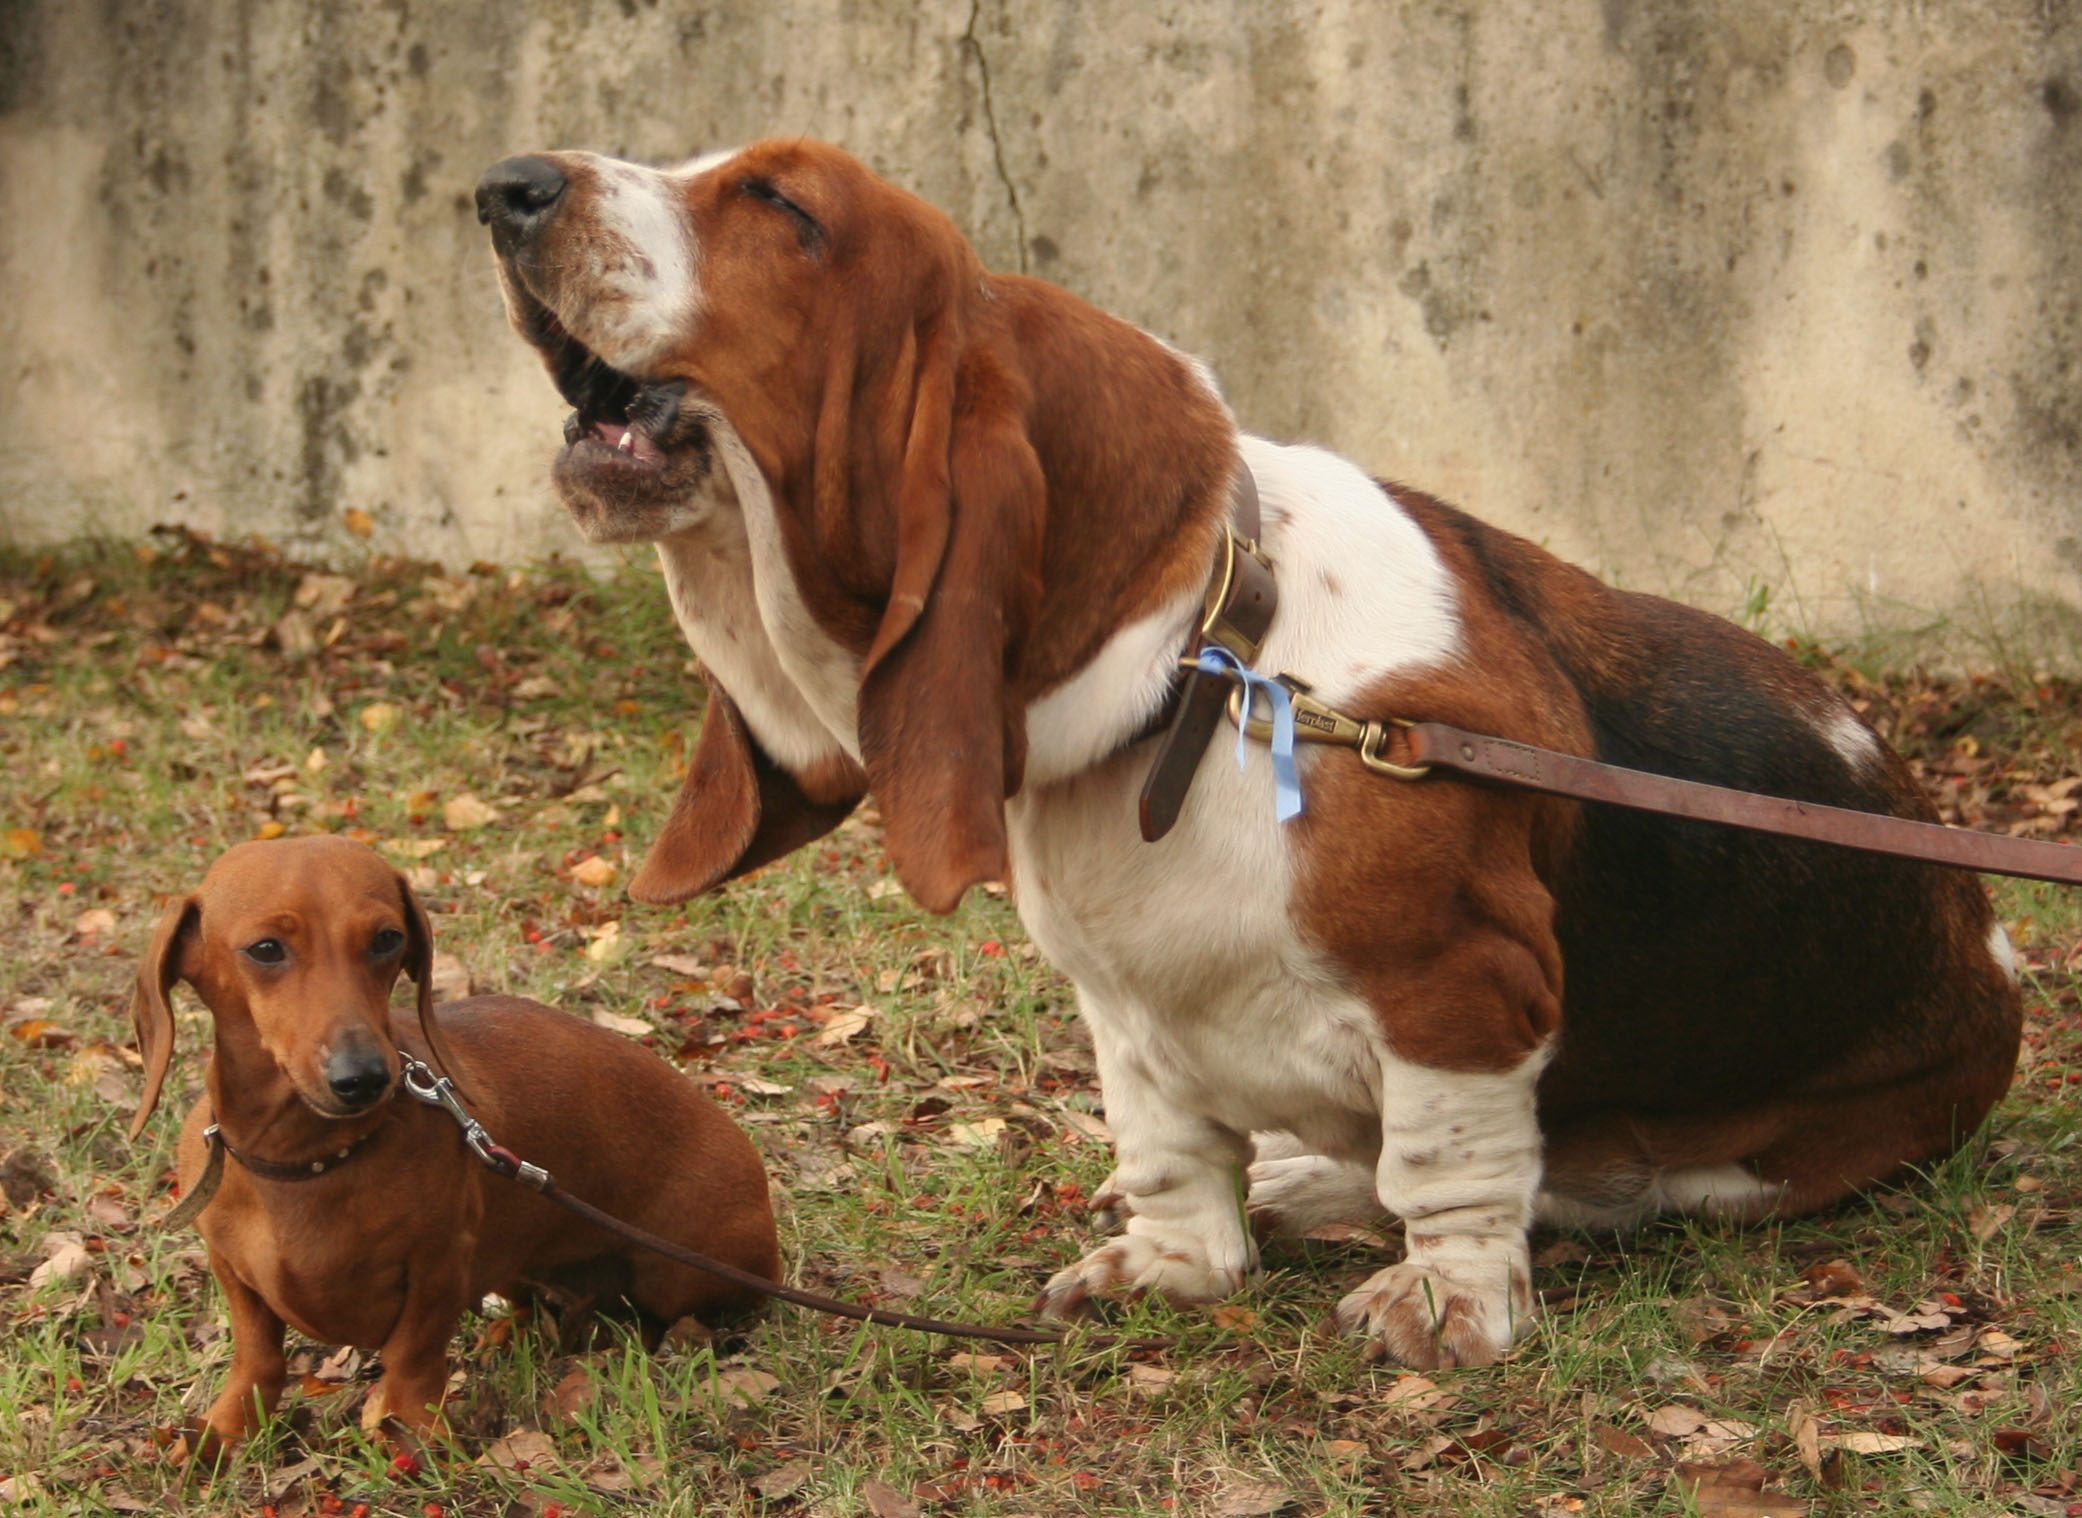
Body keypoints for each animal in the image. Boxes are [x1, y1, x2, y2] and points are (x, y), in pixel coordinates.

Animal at [476, 141, 2015, 1365]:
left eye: (785, 206)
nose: (505, 186)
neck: (1204, 677)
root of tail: (1988, 943)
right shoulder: (1128, 1015)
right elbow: (1170, 1156)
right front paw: (1175, 1267)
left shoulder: (1467, 986)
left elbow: (1449, 1167)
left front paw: (1446, 1308)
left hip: (1749, 1158)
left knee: (1556, 1179)